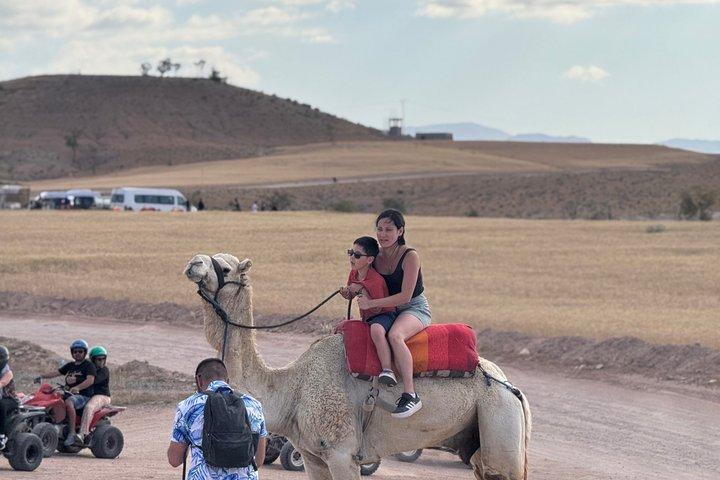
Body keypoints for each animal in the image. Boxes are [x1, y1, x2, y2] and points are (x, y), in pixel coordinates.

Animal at [184, 253, 531, 480]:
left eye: (224, 266)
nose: (193, 262)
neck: (292, 388)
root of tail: (512, 388)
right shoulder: (313, 457)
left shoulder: (342, 453)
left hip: (500, 419)